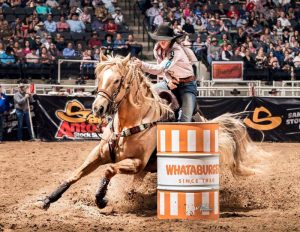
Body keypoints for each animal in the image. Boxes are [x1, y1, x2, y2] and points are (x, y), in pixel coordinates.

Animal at [41, 54, 254, 210]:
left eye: (117, 80)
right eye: (99, 78)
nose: (98, 108)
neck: (129, 123)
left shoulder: (136, 163)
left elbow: (109, 170)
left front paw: (101, 198)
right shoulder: (100, 155)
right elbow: (76, 174)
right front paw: (49, 198)